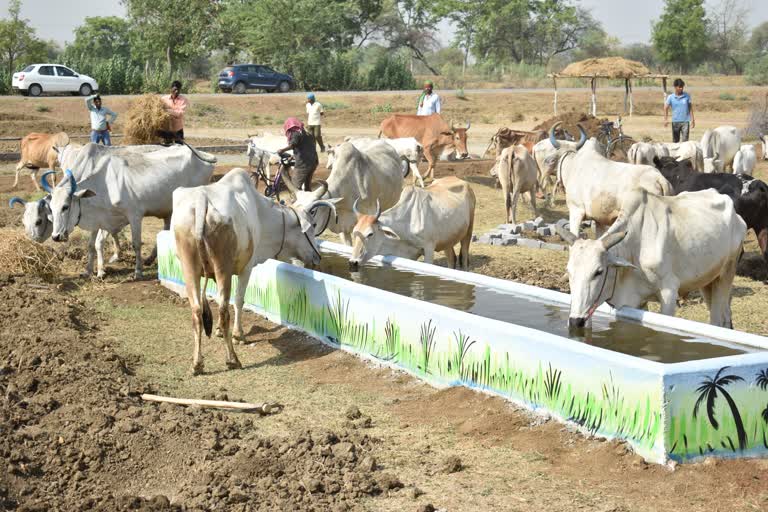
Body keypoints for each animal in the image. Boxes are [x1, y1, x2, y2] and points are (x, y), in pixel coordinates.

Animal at [46, 142, 216, 278]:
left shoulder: (134, 216)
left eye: (65, 206)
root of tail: (203, 155)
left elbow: (135, 243)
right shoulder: (103, 219)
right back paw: (150, 259)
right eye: (51, 208)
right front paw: (91, 271)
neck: (106, 185)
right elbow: (93, 244)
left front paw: (137, 272)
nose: (55, 236)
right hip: (168, 209)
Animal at [172, 170, 334, 374]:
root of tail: (202, 201)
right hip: (223, 268)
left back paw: (197, 364)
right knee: (224, 311)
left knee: (196, 311)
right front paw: (238, 335)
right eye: (312, 224)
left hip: (189, 268)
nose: (317, 256)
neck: (262, 214)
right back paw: (232, 360)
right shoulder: (246, 268)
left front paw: (218, 331)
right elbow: (239, 300)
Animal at [346, 176, 474, 270]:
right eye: (354, 232)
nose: (353, 262)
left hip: (468, 232)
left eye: (370, 234)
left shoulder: (429, 248)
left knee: (464, 259)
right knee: (451, 259)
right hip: (448, 240)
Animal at [560, 188, 744, 328]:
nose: (576, 321)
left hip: (726, 273)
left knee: (718, 319)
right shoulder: (636, 301)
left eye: (598, 271)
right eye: (569, 272)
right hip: (707, 281)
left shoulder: (669, 292)